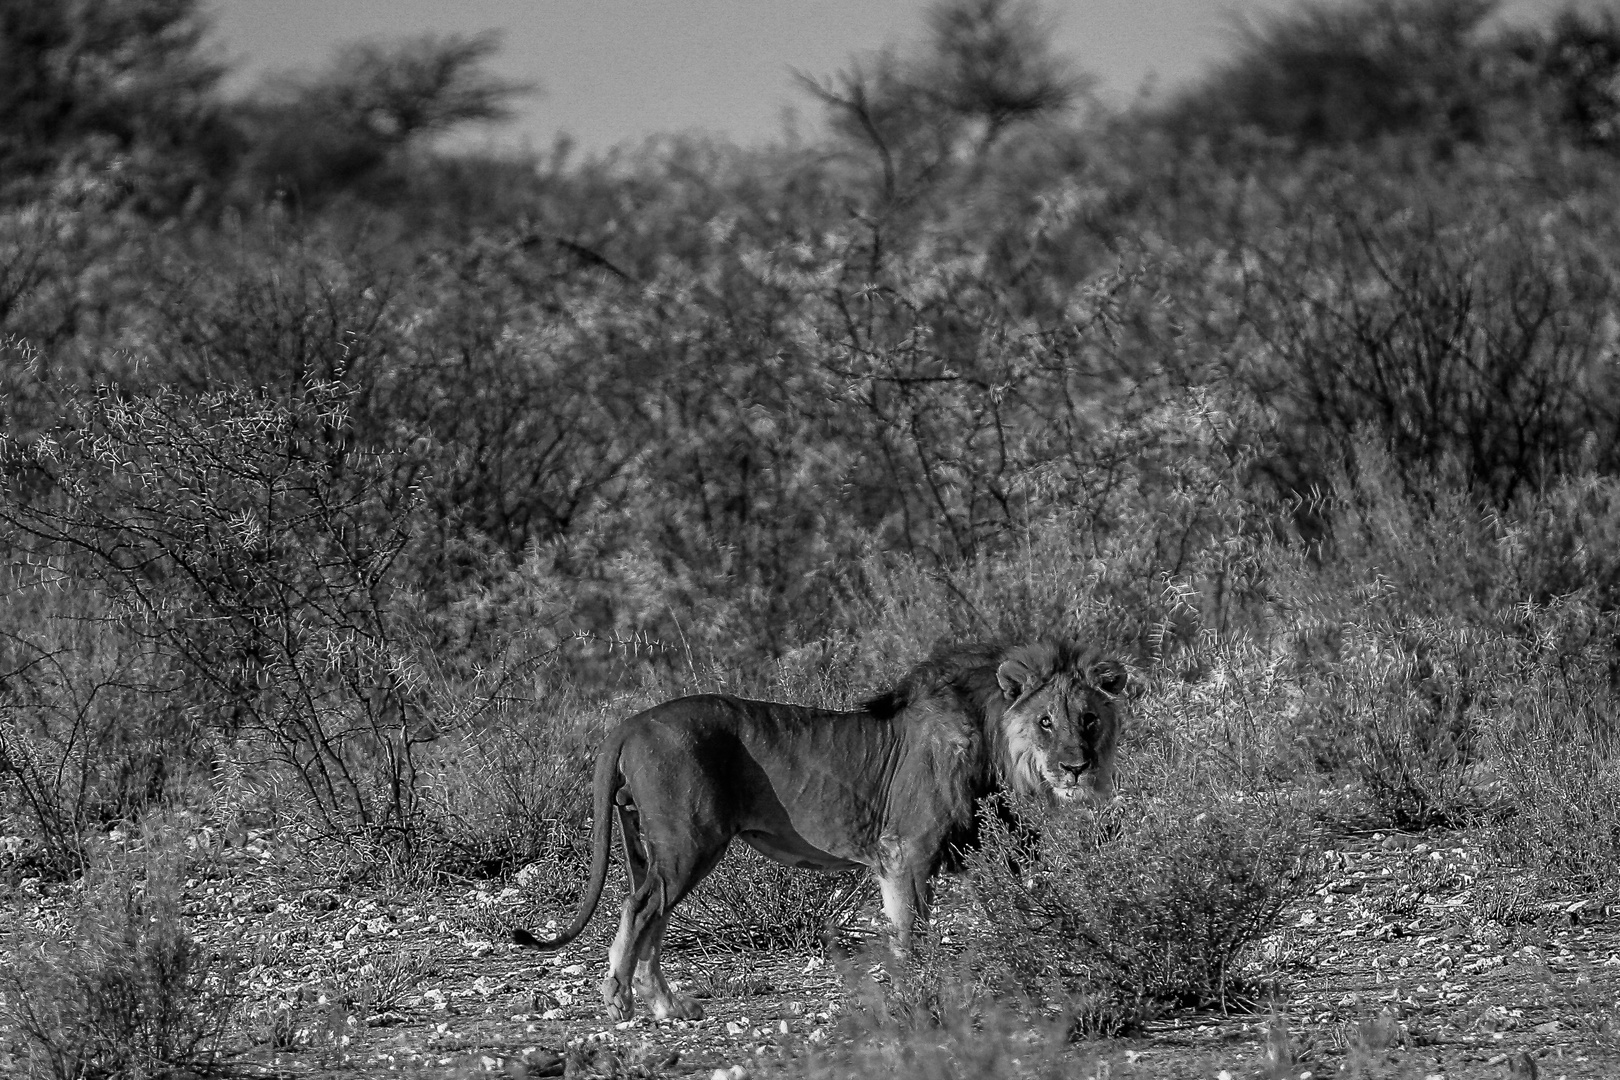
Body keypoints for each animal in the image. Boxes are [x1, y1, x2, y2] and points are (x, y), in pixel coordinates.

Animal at [515, 641, 1127, 1023]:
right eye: (1045, 721)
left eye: (1089, 719)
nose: (1076, 767)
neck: (993, 741)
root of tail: (630, 721)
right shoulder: (906, 851)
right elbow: (912, 934)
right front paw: (915, 998)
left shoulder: (974, 848)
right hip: (688, 842)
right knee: (638, 909)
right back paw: (620, 1003)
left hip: (655, 846)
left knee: (652, 915)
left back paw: (668, 1007)